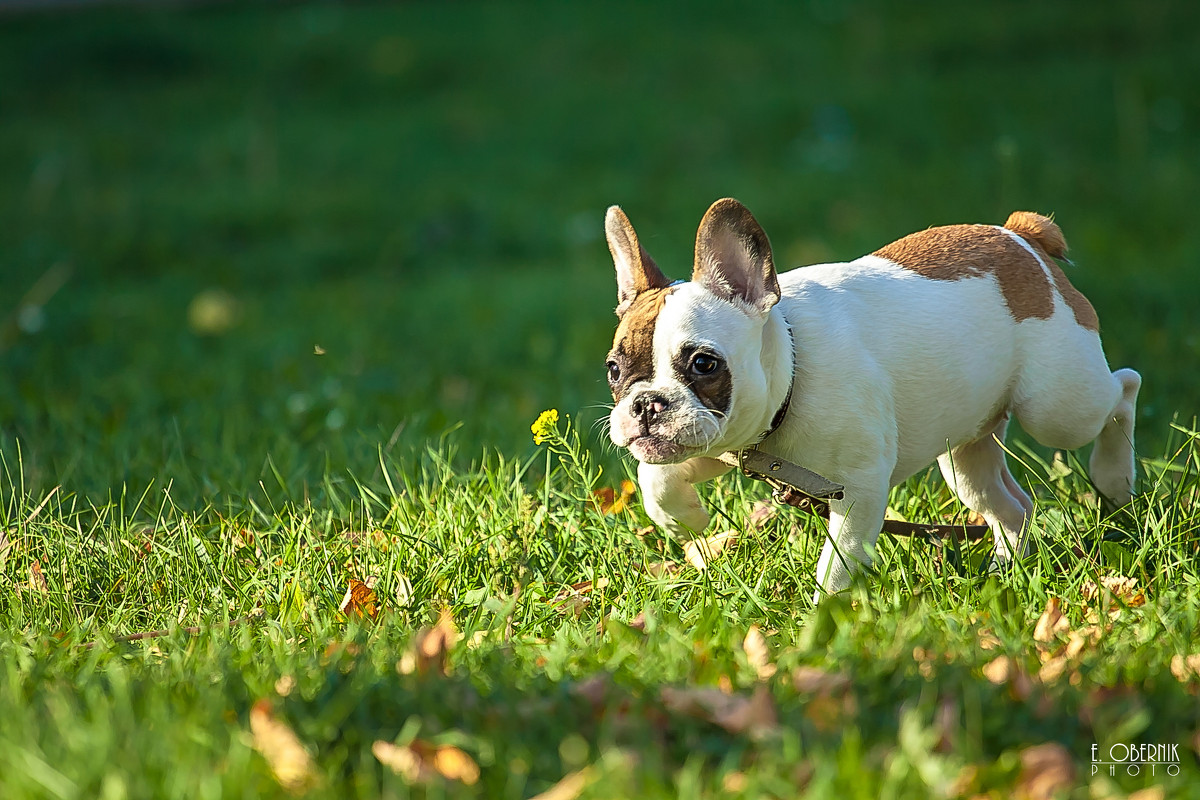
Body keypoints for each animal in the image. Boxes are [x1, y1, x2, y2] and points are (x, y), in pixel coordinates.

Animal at [604, 197, 1137, 597]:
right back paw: (1005, 571)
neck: (793, 366)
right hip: (965, 452)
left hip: (1058, 405)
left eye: (703, 364)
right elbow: (655, 475)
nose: (646, 404)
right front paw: (684, 521)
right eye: (614, 370)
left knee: (1122, 391)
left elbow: (838, 561)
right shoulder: (722, 441)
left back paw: (1114, 478)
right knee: (1009, 504)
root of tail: (1022, 238)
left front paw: (826, 614)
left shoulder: (859, 489)